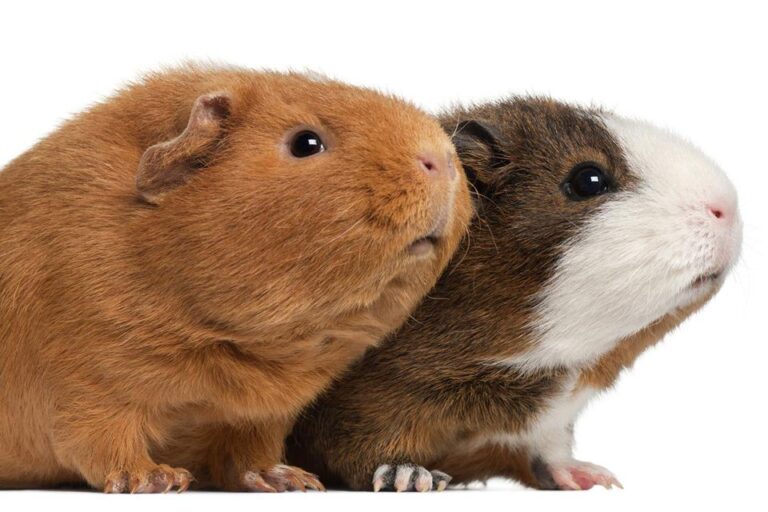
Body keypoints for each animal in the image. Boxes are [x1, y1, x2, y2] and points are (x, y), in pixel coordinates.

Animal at [0, 65, 472, 492]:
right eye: (306, 143)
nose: (441, 159)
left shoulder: (259, 417)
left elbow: (246, 454)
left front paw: (291, 481)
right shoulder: (91, 389)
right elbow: (102, 443)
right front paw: (158, 480)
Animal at [287, 97, 742, 491]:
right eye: (588, 179)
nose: (727, 207)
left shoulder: (550, 419)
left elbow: (550, 449)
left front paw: (593, 479)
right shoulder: (374, 397)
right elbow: (370, 447)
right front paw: (412, 479)